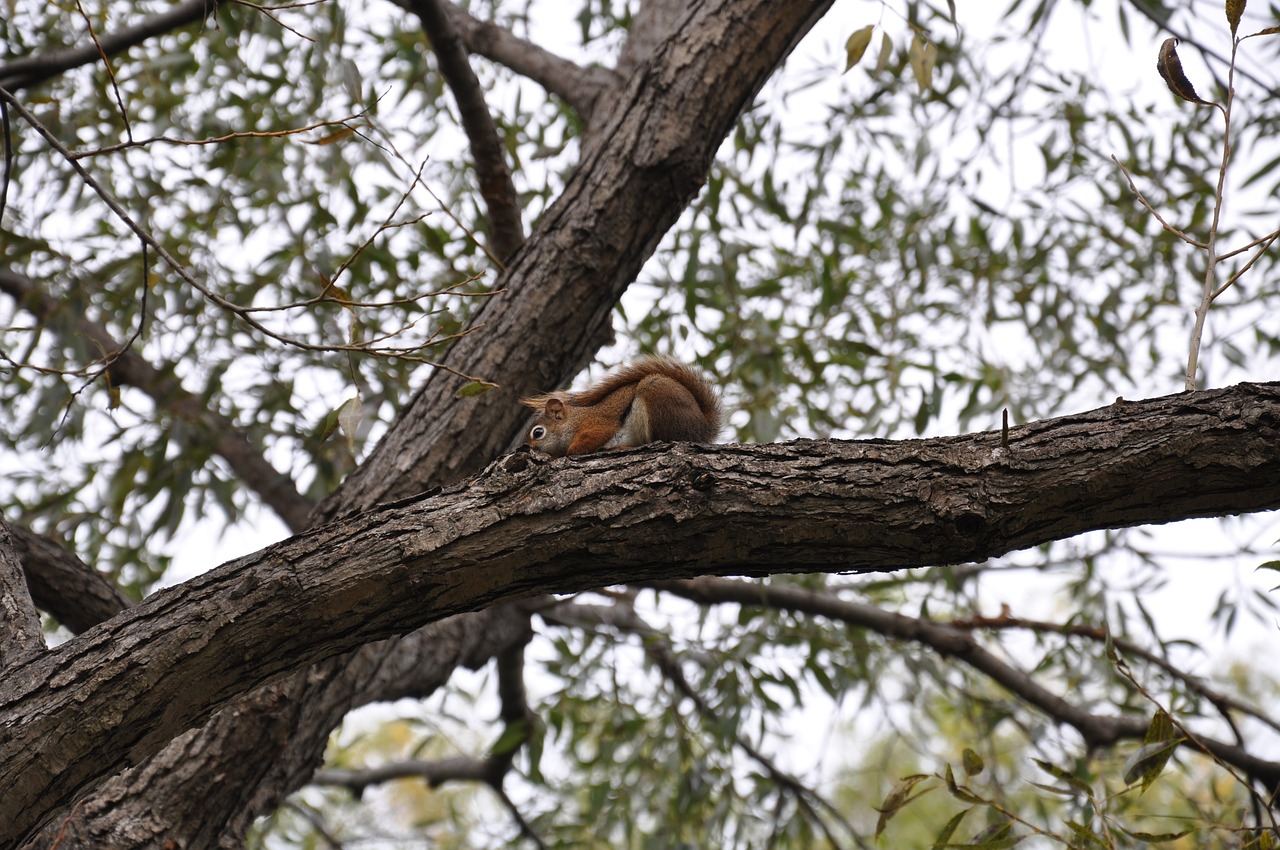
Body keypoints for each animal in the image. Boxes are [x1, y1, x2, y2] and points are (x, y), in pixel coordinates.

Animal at [519, 353, 721, 455]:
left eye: (538, 433)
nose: (525, 449)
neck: (574, 420)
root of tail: (703, 427)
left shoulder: (597, 423)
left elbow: (592, 438)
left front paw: (572, 451)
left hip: (659, 402)